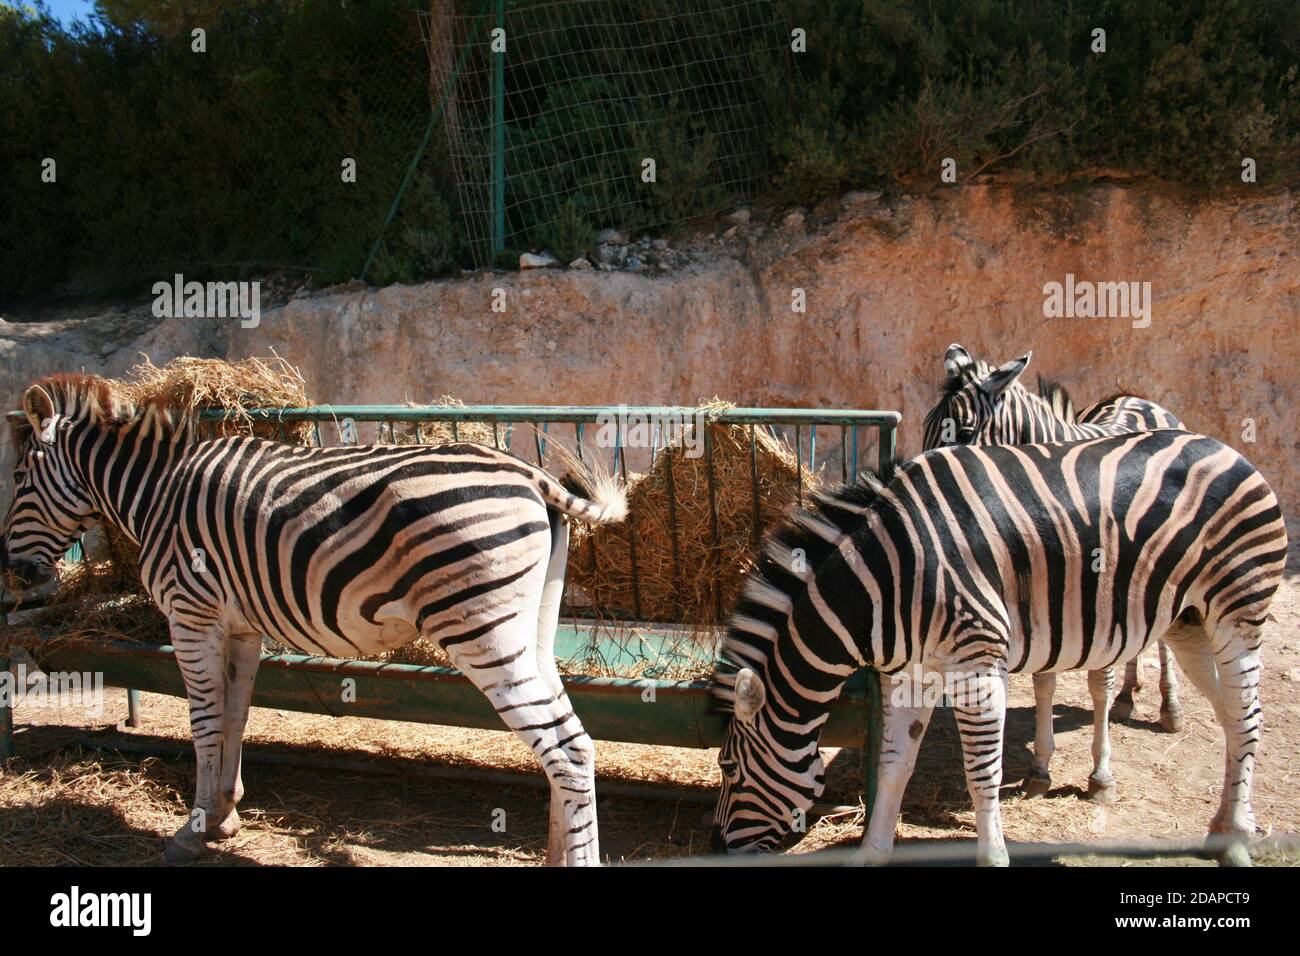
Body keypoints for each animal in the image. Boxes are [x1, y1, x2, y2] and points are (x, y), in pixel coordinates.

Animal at [1, 375, 627, 866]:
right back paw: (557, 852)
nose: (13, 571)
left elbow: (203, 722)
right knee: (564, 742)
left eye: (21, 477)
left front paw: (193, 830)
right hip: (531, 628)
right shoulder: (241, 627)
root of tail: (530, 476)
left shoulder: (191, 614)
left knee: (568, 747)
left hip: (481, 631)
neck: (157, 492)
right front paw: (225, 814)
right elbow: (234, 716)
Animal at [710, 428, 1285, 866]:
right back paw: (1225, 824)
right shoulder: (912, 671)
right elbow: (894, 762)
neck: (886, 577)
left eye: (728, 768)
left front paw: (993, 856)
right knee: (1232, 716)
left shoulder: (978, 663)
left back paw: (1236, 840)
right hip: (1189, 623)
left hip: (1238, 612)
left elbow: (982, 775)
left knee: (1249, 717)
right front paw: (871, 854)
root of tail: (1226, 447)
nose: (715, 847)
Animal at [921, 343, 1186, 803]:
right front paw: (1040, 769)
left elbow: (1098, 680)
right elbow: (1044, 680)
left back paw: (1168, 707)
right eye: (927, 427)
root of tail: (1139, 398)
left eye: (966, 432)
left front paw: (1101, 775)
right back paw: (1128, 697)